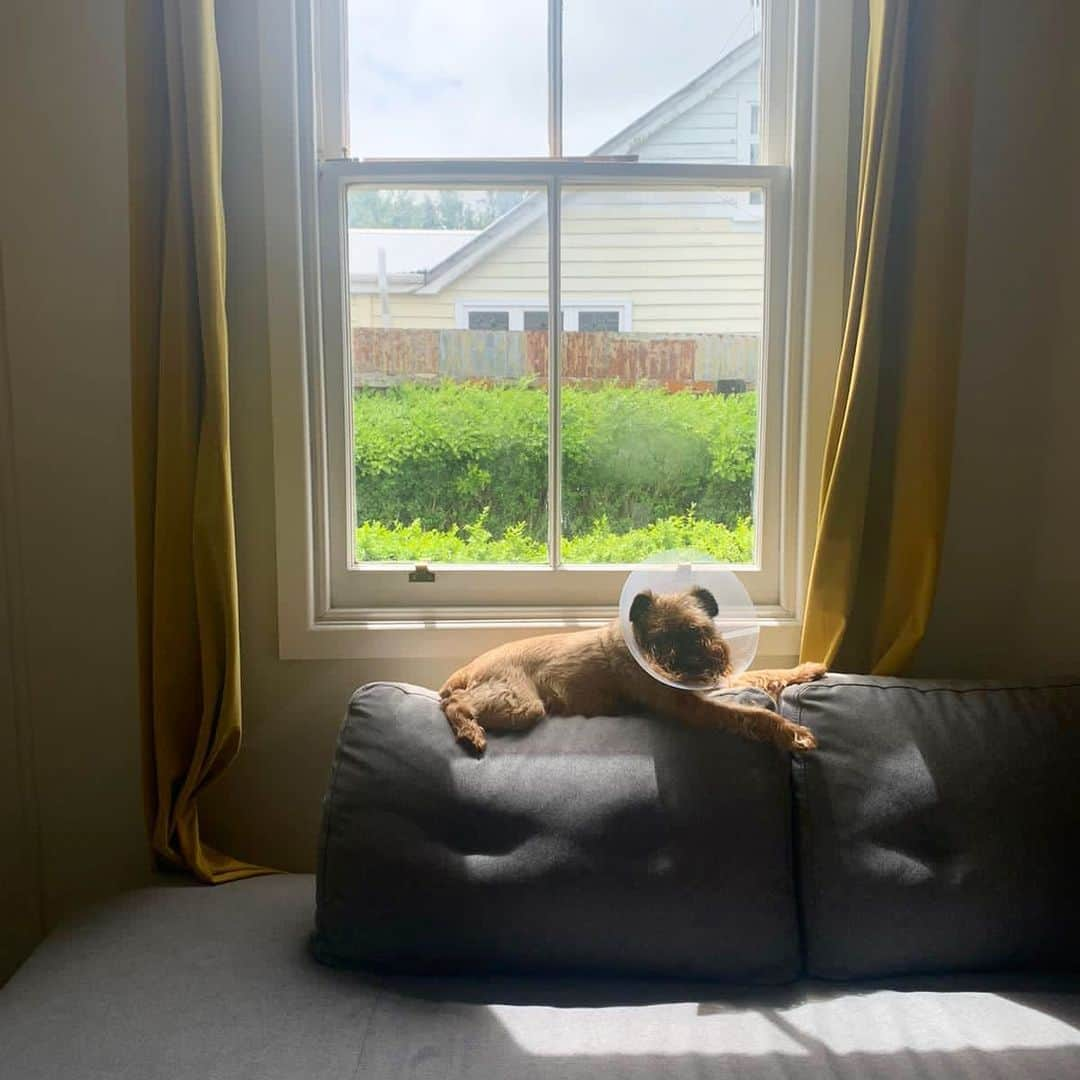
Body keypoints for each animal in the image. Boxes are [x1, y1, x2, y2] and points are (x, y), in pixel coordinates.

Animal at [442, 587, 820, 756]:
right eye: (661, 638)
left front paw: (808, 668)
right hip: (520, 704)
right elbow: (755, 715)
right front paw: (792, 731)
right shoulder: (690, 705)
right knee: (454, 704)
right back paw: (471, 733)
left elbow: (762, 672)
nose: (688, 658)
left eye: (698, 630)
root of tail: (468, 667)